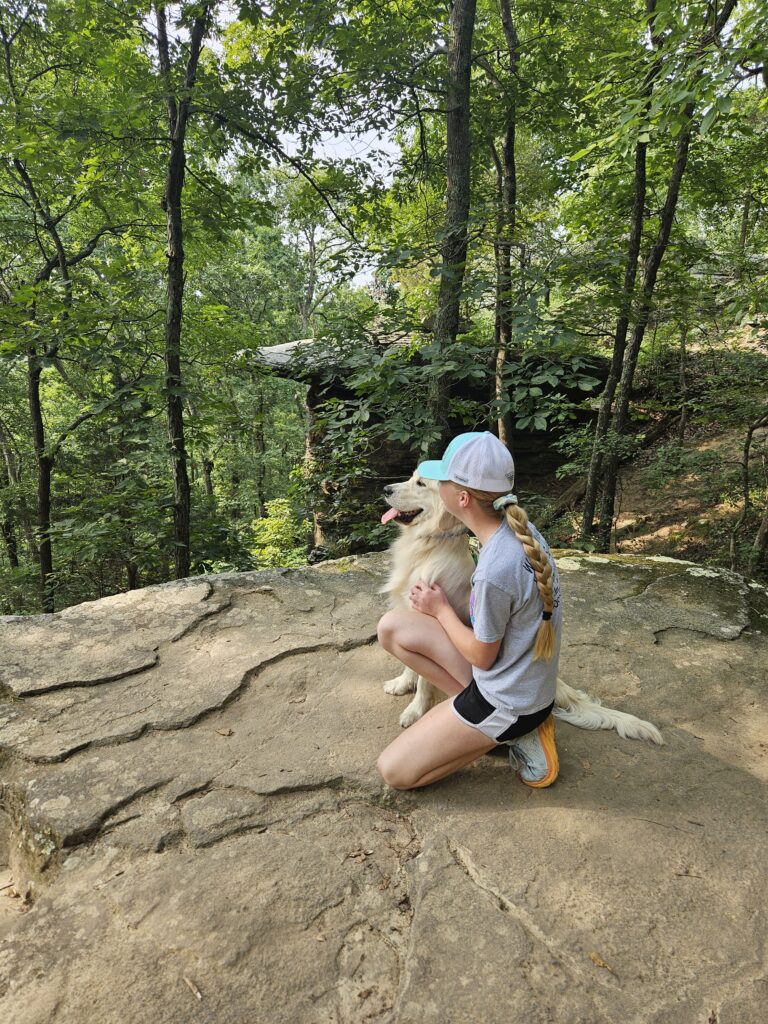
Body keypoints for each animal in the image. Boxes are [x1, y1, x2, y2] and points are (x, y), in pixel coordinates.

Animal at [382, 471, 663, 745]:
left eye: (420, 483)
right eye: (411, 476)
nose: (385, 490)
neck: (428, 546)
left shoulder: (425, 612)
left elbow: (424, 679)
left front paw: (415, 710)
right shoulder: (406, 607)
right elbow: (410, 667)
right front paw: (402, 683)